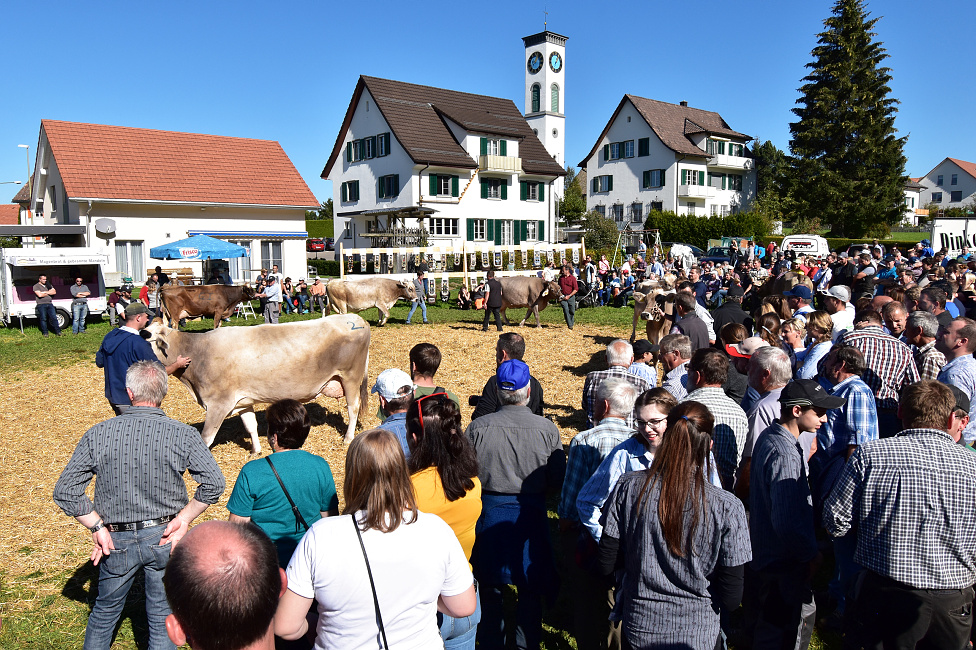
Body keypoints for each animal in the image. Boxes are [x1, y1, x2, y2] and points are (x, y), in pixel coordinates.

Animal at [145, 312, 370, 454]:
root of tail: (356, 318)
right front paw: (256, 450)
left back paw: (348, 438)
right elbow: (251, 426)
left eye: (144, 336)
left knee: (353, 407)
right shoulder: (243, 401)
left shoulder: (218, 403)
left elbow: (206, 437)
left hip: (350, 376)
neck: (198, 351)